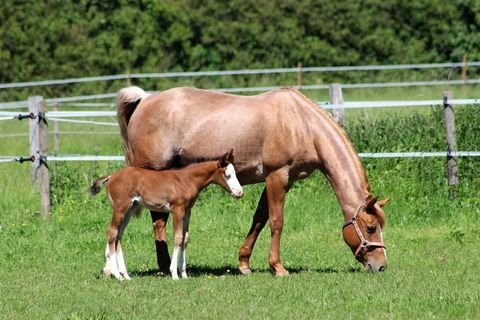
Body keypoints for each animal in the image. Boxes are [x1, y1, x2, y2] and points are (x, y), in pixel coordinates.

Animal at [89, 151, 242, 280]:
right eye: (227, 175)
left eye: (235, 173)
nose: (240, 193)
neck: (187, 180)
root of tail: (111, 176)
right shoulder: (177, 210)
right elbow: (178, 237)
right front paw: (174, 274)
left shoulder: (187, 211)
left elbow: (185, 238)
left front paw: (184, 274)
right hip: (120, 208)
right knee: (112, 232)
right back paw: (117, 275)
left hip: (130, 209)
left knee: (118, 235)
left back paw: (125, 275)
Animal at [117, 85, 390, 276]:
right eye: (370, 227)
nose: (381, 266)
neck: (301, 123)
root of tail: (144, 100)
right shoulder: (277, 176)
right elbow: (277, 222)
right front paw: (278, 267)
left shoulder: (282, 180)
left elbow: (259, 219)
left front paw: (244, 263)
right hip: (154, 172)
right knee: (158, 220)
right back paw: (165, 265)